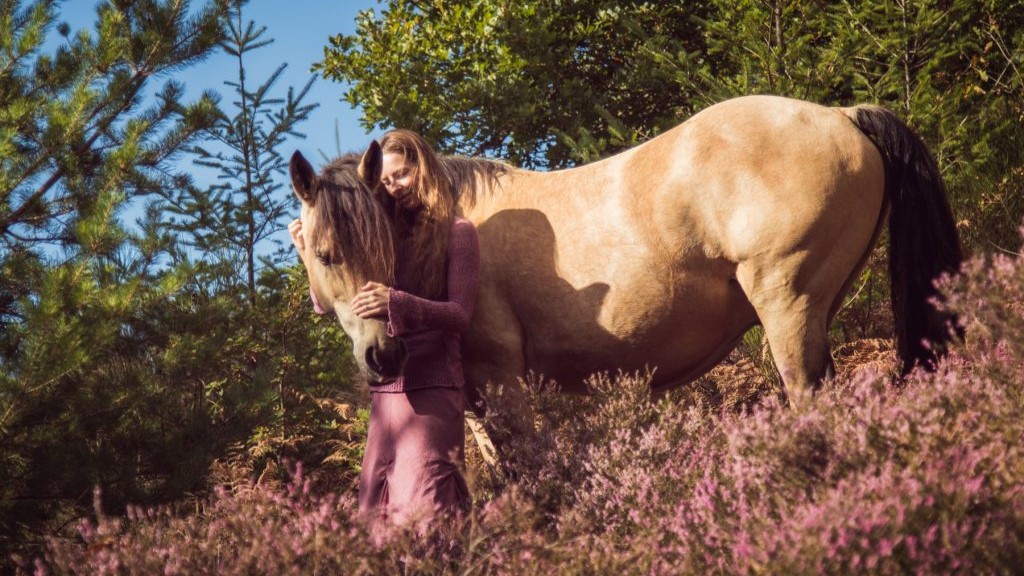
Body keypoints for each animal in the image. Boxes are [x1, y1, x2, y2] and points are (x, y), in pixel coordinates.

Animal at [289, 95, 962, 419]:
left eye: (381, 250)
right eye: (326, 253)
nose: (383, 356)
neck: (443, 225)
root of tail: (841, 114)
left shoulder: (501, 377)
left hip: (788, 309)